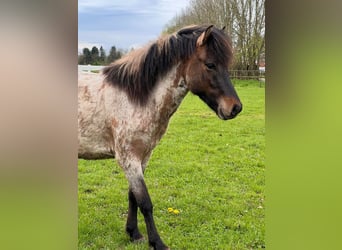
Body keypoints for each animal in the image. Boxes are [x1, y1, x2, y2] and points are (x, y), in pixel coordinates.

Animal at [78, 23, 242, 250]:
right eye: (210, 64)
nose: (235, 108)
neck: (135, 98)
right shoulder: (128, 159)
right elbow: (145, 202)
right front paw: (157, 242)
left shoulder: (143, 157)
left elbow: (133, 197)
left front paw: (134, 233)